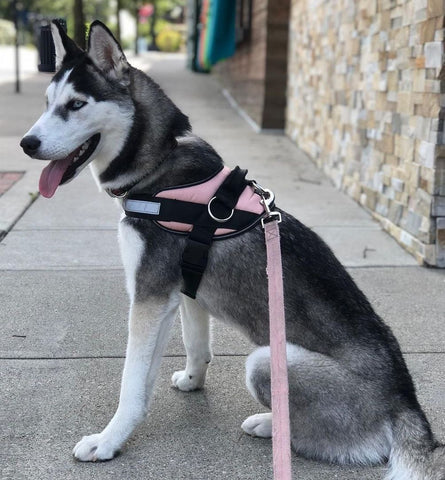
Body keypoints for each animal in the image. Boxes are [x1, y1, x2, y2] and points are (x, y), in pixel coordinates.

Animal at [21, 20, 444, 478]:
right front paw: (192, 381)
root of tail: (407, 406)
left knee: (346, 443)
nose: (27, 143)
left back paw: (272, 425)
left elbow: (131, 383)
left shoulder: (149, 296)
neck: (160, 165)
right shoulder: (181, 290)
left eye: (76, 104)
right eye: (47, 103)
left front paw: (109, 440)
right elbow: (194, 345)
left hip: (267, 360)